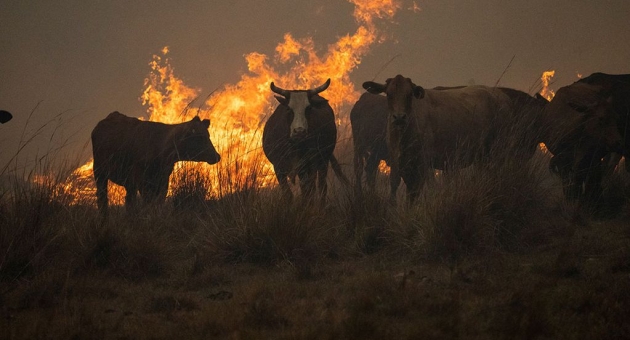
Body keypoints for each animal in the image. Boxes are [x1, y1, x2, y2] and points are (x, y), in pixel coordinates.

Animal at [91, 111, 222, 218]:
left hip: (128, 182)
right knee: (103, 198)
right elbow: (148, 202)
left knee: (129, 200)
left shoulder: (163, 180)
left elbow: (158, 202)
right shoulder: (142, 180)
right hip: (99, 172)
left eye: (208, 135)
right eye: (200, 137)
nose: (217, 156)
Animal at [362, 74, 516, 203]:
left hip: (500, 149)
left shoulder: (422, 163)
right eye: (389, 94)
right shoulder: (398, 161)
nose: (399, 117)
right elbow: (396, 185)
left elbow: (415, 192)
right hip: (483, 156)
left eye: (409, 94)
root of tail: (501, 96)